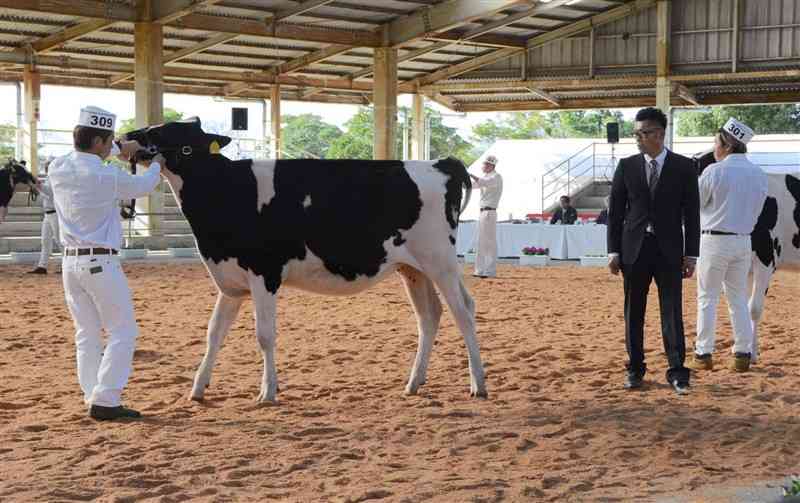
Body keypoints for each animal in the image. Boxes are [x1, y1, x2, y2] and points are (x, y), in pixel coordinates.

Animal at [126, 119, 488, 406]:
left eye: (169, 133)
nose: (126, 136)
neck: (226, 191)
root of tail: (441, 163)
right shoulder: (231, 282)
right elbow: (214, 333)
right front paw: (198, 388)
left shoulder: (265, 274)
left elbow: (264, 335)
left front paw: (268, 392)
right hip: (413, 269)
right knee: (430, 316)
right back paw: (414, 383)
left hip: (441, 262)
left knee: (464, 311)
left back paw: (478, 384)